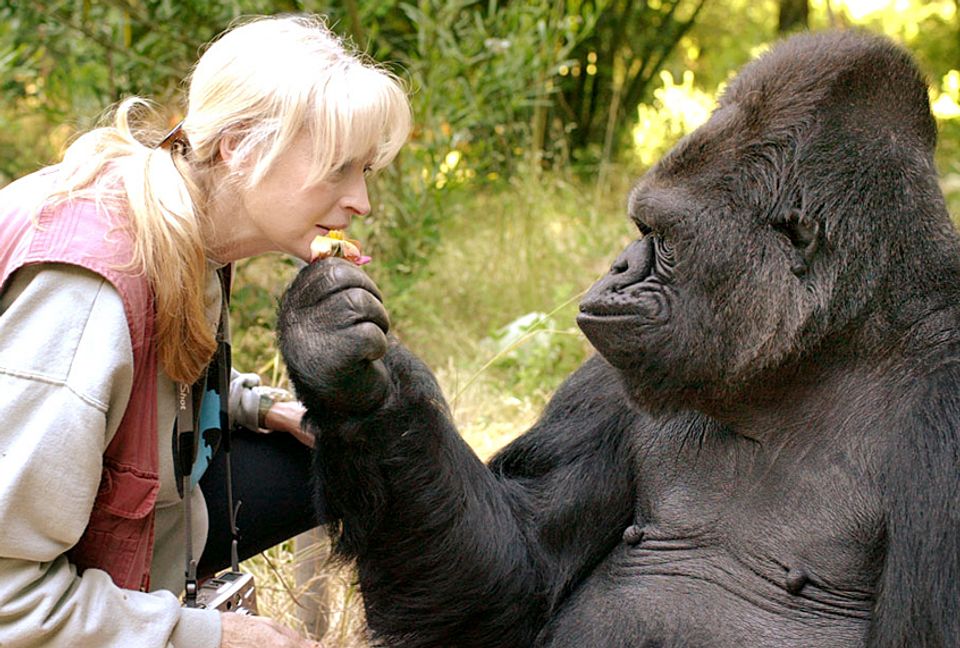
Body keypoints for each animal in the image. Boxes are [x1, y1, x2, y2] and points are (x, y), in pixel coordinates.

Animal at [274, 30, 960, 648]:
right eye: (640, 227)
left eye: (664, 237)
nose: (619, 266)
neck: (829, 346)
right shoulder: (612, 375)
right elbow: (512, 575)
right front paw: (343, 369)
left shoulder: (944, 416)